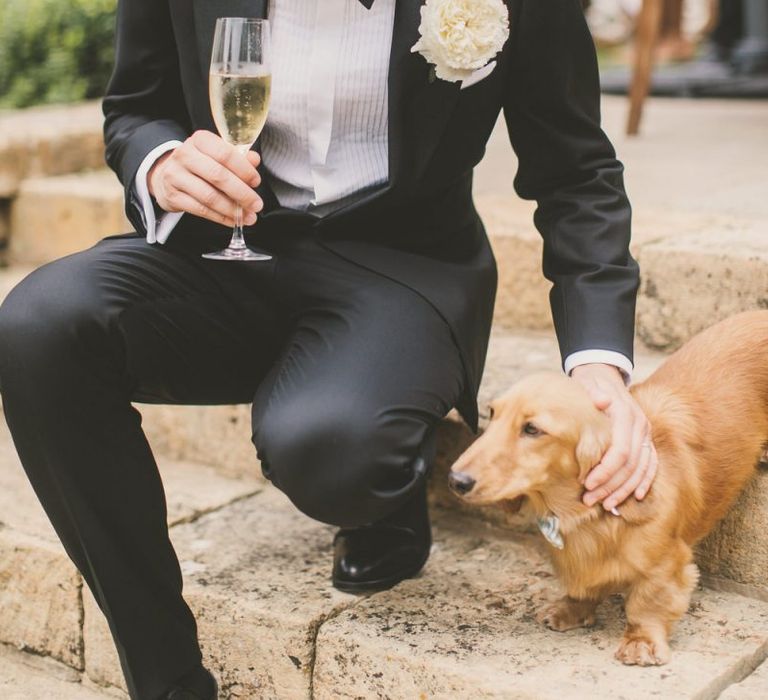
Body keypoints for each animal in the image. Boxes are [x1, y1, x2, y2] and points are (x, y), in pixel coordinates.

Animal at [448, 312, 768, 668]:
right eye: (492, 413)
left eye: (532, 429)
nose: (456, 479)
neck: (581, 516)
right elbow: (583, 589)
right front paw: (571, 610)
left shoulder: (666, 563)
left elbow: (647, 603)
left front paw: (641, 642)